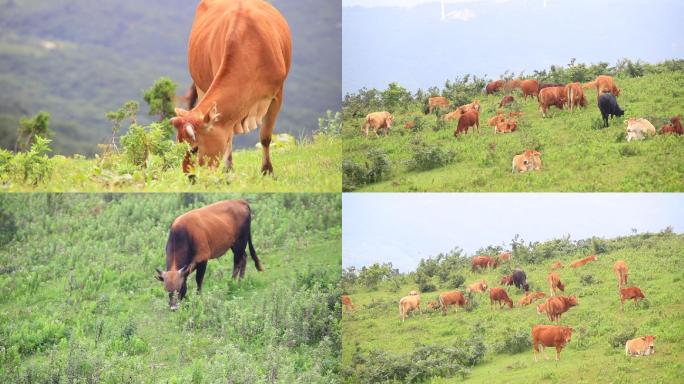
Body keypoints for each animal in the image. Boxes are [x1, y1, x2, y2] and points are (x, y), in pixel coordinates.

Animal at [170, 0, 292, 176]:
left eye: (195, 148)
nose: (189, 174)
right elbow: (228, 138)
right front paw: (228, 169)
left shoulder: (277, 94)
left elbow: (265, 137)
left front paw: (267, 171)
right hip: (200, 86)